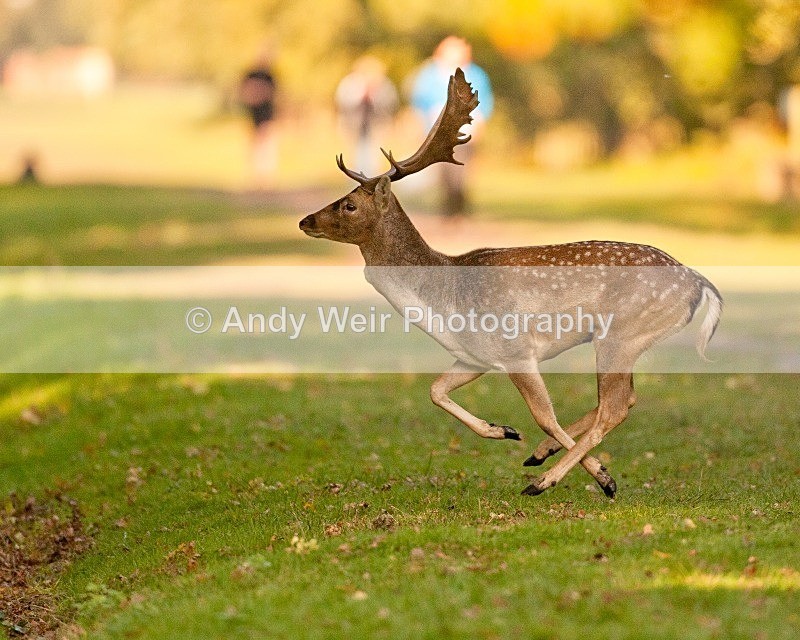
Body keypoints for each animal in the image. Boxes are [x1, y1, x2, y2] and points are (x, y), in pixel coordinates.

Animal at [299, 68, 722, 497]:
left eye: (350, 205)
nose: (305, 221)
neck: (442, 298)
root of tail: (698, 281)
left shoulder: (516, 348)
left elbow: (544, 414)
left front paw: (599, 475)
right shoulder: (475, 355)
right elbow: (435, 390)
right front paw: (504, 430)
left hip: (622, 334)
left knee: (615, 406)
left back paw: (547, 478)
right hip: (625, 340)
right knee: (626, 400)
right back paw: (542, 455)